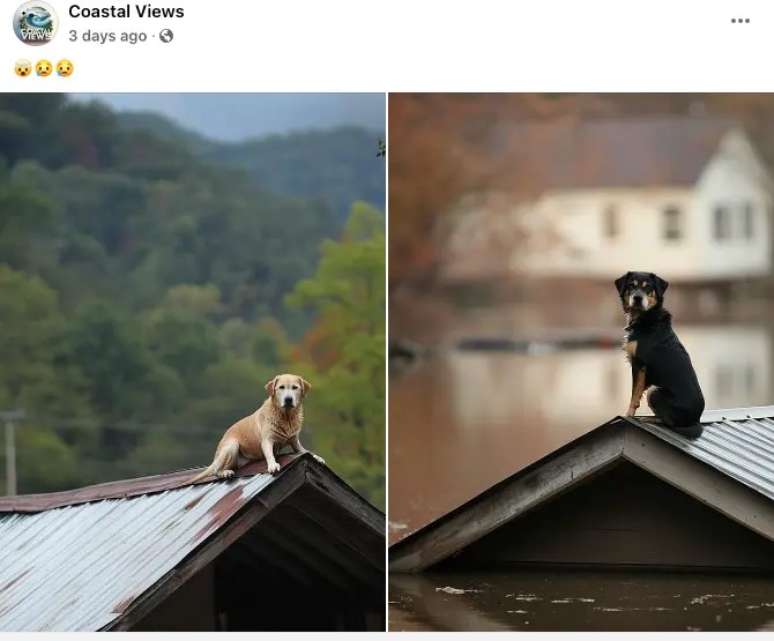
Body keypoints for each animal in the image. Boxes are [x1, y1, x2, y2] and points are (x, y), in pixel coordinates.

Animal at [616, 270, 708, 440]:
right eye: (631, 285)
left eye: (648, 287)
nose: (637, 298)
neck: (646, 316)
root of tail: (696, 420)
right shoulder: (643, 373)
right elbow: (638, 392)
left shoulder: (639, 364)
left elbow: (634, 394)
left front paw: (628, 415)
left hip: (655, 391)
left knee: (670, 423)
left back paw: (651, 419)